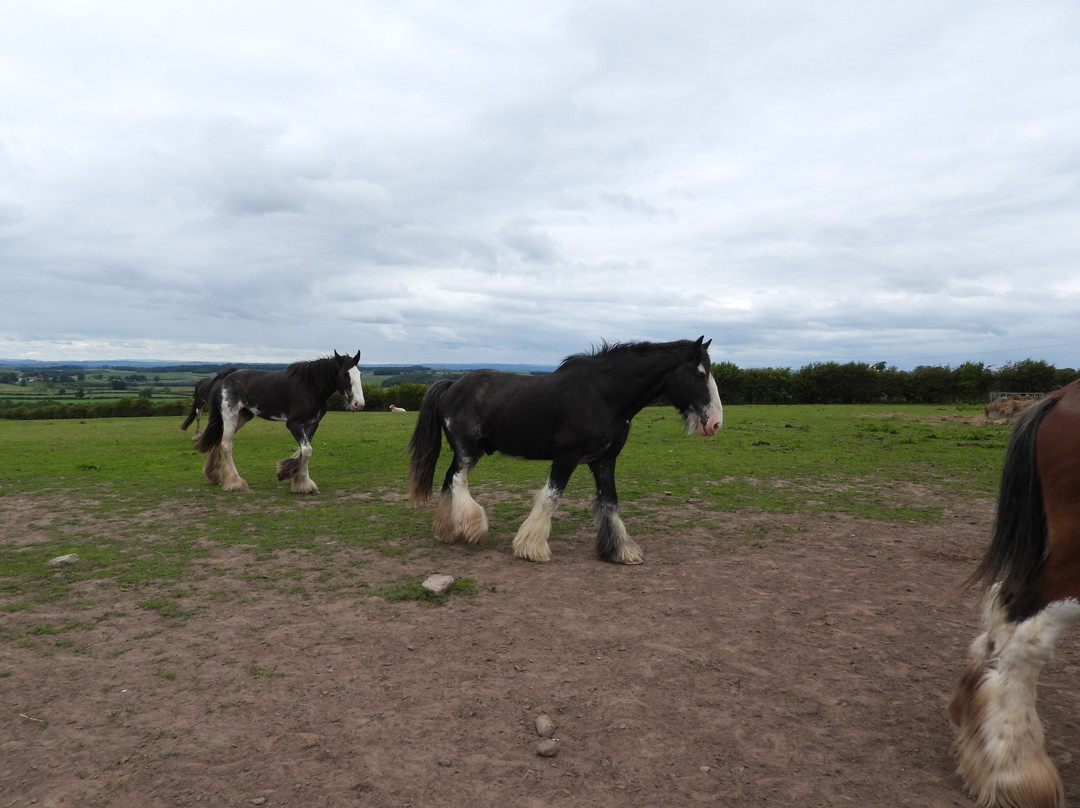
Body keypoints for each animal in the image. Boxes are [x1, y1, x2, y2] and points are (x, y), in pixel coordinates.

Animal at [195, 351, 365, 494]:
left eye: (359, 373)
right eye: (345, 374)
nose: (358, 404)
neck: (310, 388)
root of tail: (225, 378)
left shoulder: (311, 424)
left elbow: (305, 450)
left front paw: (301, 483)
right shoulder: (293, 423)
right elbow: (307, 450)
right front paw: (288, 475)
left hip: (242, 417)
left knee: (219, 440)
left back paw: (213, 475)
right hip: (230, 416)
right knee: (226, 445)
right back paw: (236, 482)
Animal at [407, 337, 723, 564]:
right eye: (699, 374)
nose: (715, 423)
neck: (602, 395)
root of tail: (453, 384)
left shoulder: (604, 460)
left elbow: (610, 502)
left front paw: (620, 551)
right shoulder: (566, 458)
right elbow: (551, 498)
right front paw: (531, 548)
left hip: (470, 451)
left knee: (449, 480)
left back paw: (447, 530)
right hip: (468, 449)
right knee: (457, 480)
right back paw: (473, 527)